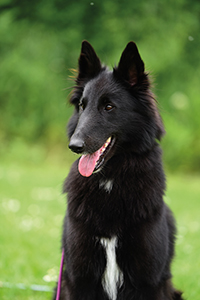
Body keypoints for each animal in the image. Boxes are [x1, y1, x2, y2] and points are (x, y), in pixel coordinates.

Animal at [54, 41, 183, 298]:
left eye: (109, 106)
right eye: (82, 106)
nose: (74, 146)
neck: (110, 181)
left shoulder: (149, 281)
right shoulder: (78, 279)